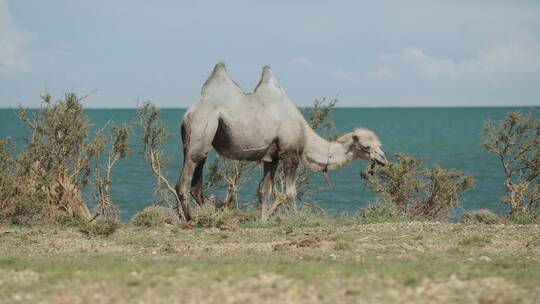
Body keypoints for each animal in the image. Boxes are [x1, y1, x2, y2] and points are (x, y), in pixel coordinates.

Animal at [175, 63, 386, 220]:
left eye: (379, 146)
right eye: (367, 146)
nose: (383, 159)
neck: (305, 136)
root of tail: (189, 113)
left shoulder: (272, 158)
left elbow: (266, 191)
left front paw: (263, 220)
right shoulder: (290, 153)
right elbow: (291, 192)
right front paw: (296, 218)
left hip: (193, 140)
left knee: (196, 181)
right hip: (203, 128)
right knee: (185, 180)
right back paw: (190, 220)